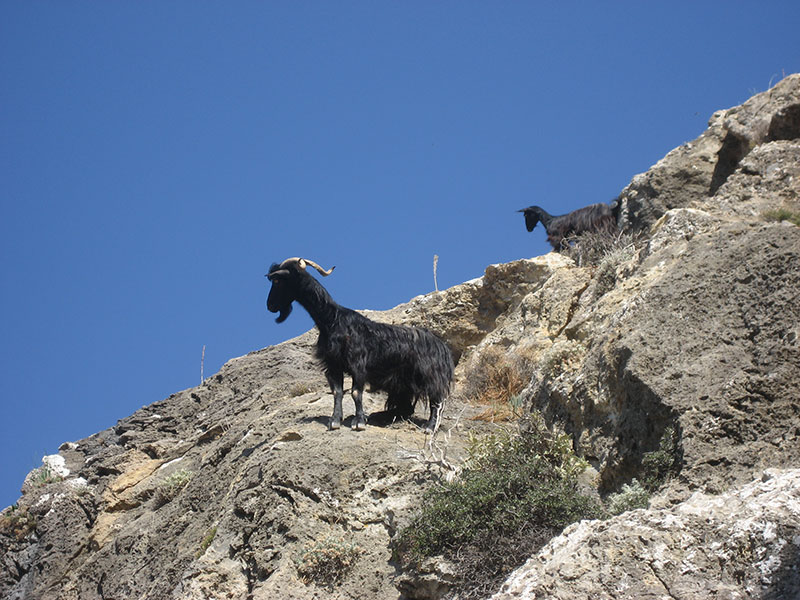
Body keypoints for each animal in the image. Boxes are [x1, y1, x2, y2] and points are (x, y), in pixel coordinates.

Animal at [266, 255, 454, 434]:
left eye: (277, 281)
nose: (270, 306)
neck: (332, 320)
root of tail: (442, 347)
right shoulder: (334, 364)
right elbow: (337, 392)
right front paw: (335, 421)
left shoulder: (358, 364)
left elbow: (356, 392)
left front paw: (359, 422)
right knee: (407, 406)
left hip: (430, 375)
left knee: (436, 401)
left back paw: (430, 427)